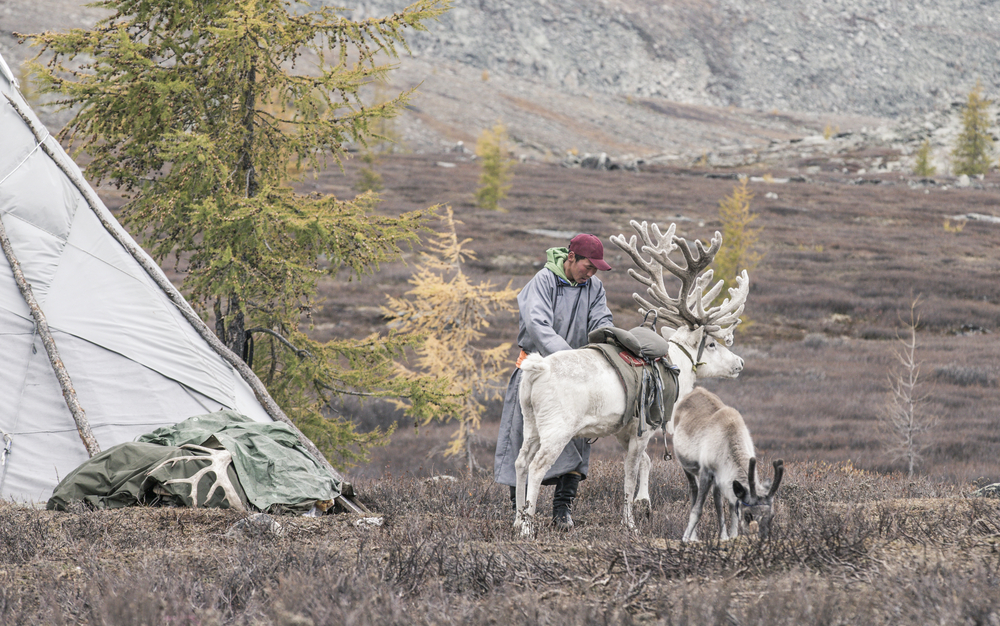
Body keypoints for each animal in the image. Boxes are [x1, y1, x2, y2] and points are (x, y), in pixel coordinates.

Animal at [513, 220, 749, 537]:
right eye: (711, 344)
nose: (739, 363)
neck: (676, 365)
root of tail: (537, 370)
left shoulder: (625, 431)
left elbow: (644, 464)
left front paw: (644, 503)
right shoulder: (643, 429)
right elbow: (630, 474)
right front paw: (630, 522)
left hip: (530, 422)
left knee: (520, 461)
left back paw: (516, 519)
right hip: (557, 429)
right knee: (537, 466)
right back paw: (527, 527)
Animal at [672, 387, 784, 542]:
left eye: (772, 516)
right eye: (748, 515)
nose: (760, 539)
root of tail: (696, 389)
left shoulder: (726, 477)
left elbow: (731, 508)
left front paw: (731, 536)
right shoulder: (706, 471)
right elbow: (697, 510)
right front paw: (685, 538)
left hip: (717, 479)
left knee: (717, 500)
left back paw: (723, 535)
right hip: (686, 465)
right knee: (693, 490)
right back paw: (693, 537)